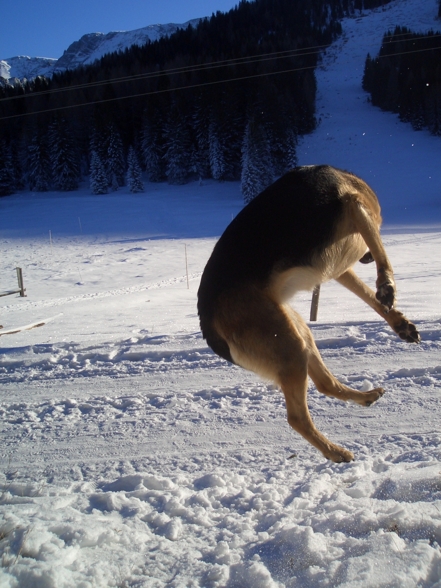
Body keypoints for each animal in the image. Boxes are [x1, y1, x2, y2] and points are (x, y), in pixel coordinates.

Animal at [197, 164, 420, 464]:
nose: (366, 259)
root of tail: (206, 321)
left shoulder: (340, 267)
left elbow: (369, 296)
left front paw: (399, 322)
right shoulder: (355, 205)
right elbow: (382, 256)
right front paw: (387, 284)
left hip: (295, 331)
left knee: (326, 384)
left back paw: (364, 397)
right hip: (288, 347)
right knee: (296, 418)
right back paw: (335, 451)